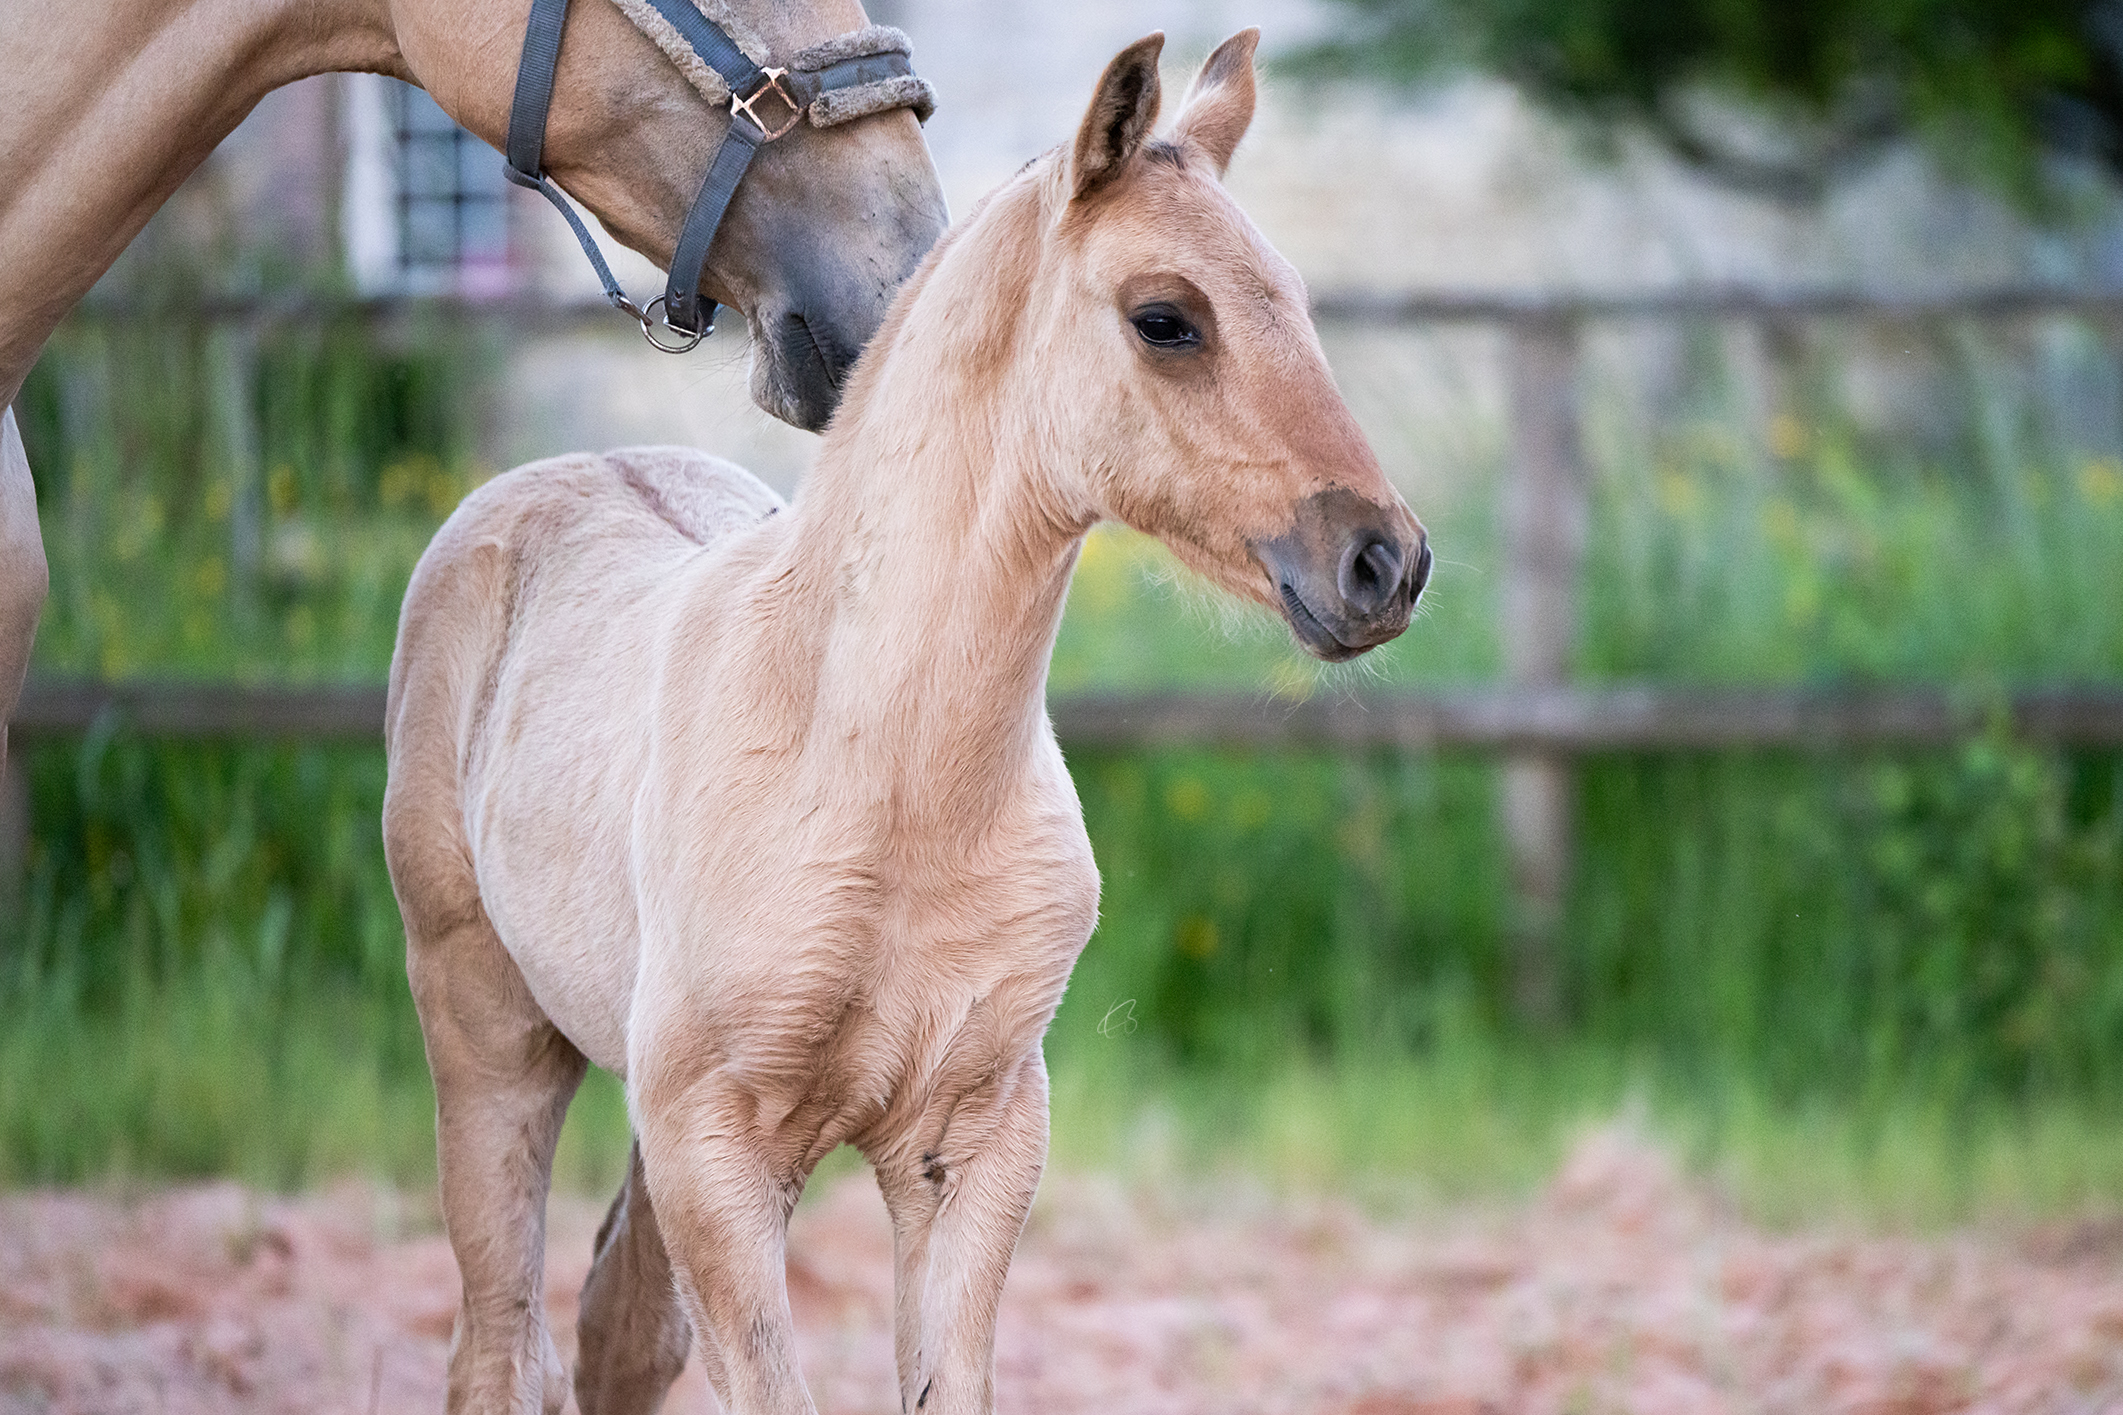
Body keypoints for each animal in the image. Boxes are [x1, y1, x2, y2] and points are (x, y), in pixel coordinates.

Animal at [390, 30, 1435, 1415]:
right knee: (502, 1339)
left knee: (619, 1326)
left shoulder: (969, 1142)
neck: (880, 773)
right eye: (1165, 318)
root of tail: (556, 476)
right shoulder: (717, 1152)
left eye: (1298, 303)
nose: (1382, 562)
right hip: (487, 1028)